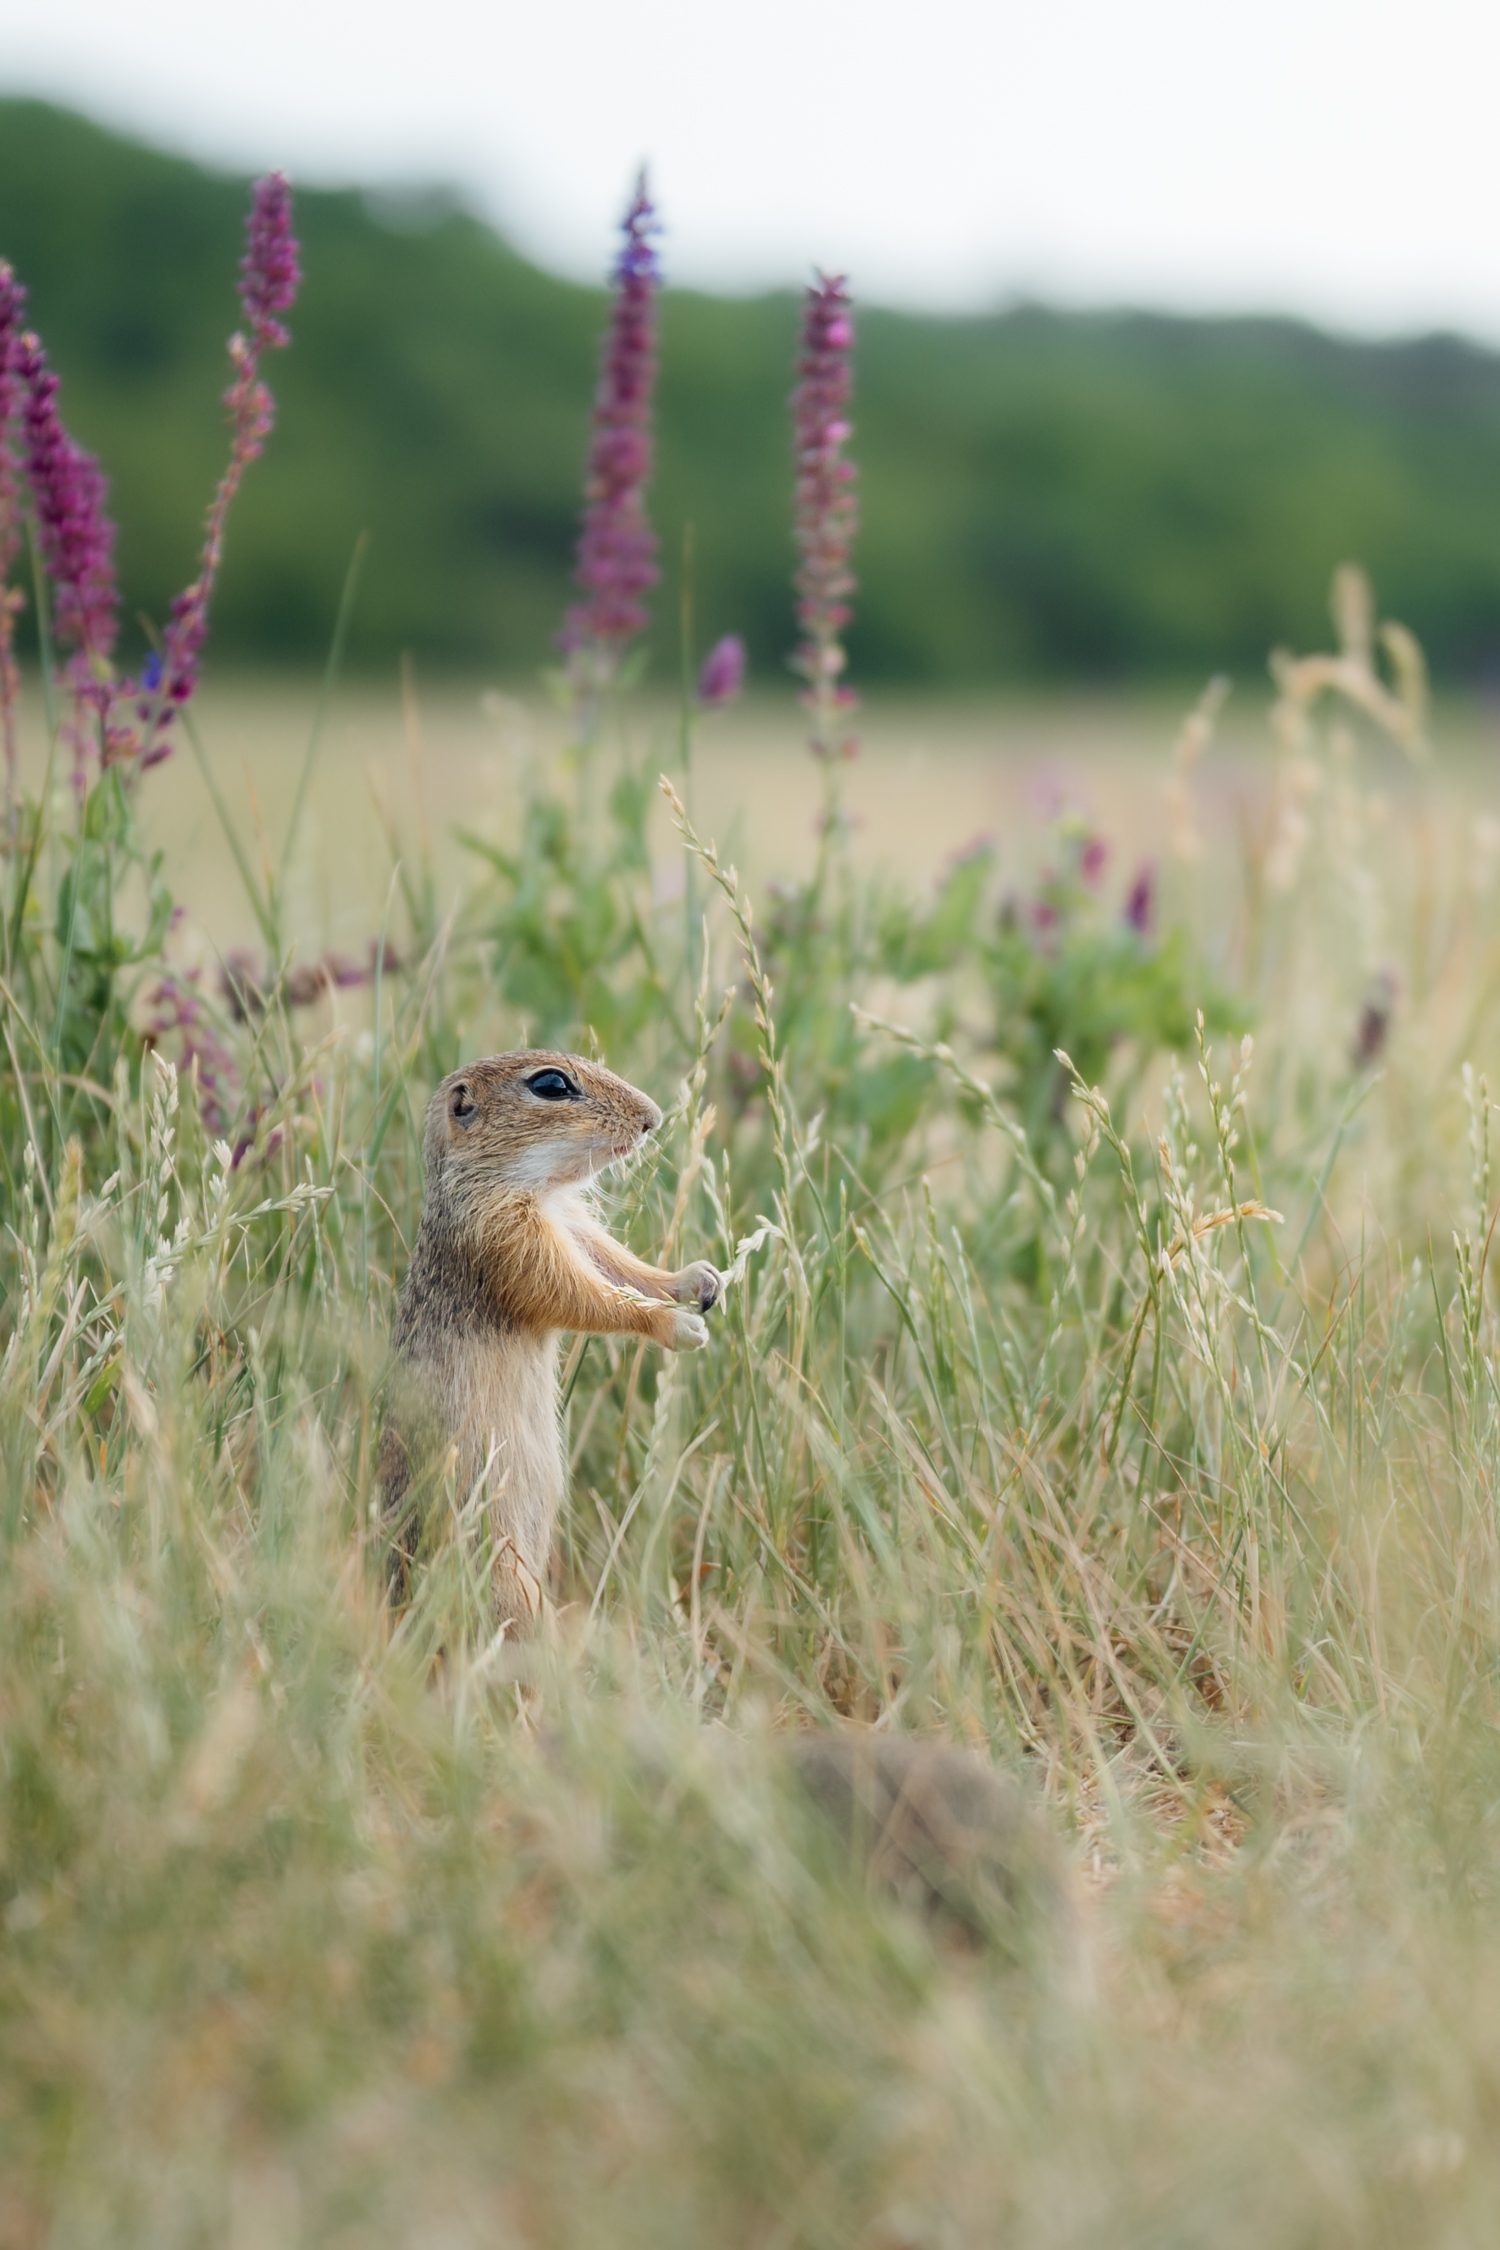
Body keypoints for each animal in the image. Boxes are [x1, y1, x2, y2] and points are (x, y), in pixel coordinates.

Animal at [380, 1049, 721, 1629]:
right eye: (551, 1086)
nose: (652, 1118)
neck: (537, 1188)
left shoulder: (574, 1225)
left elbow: (619, 1266)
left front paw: (696, 1280)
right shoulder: (506, 1236)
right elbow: (582, 1293)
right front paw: (674, 1325)